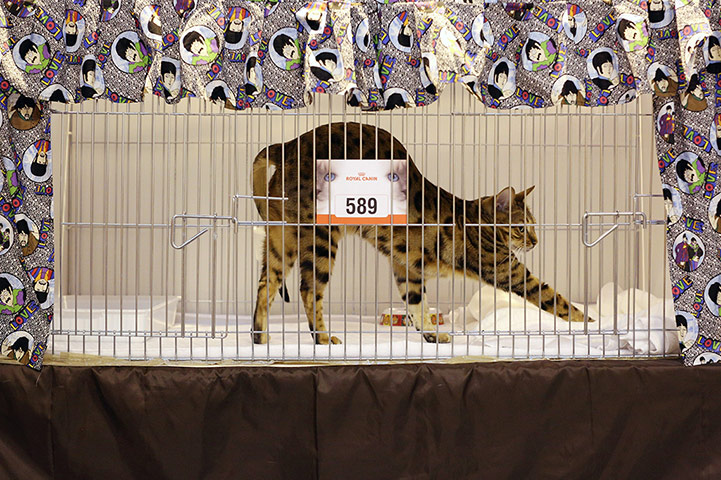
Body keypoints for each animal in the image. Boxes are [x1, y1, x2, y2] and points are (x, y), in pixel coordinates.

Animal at [253, 121, 592, 344]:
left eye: (533, 226)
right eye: (522, 228)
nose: (536, 241)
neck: (471, 218)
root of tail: (287, 146)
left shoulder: (407, 267)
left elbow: (417, 305)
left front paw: (430, 334)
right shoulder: (507, 269)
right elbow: (554, 297)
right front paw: (591, 323)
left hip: (281, 239)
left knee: (266, 284)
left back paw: (259, 336)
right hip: (321, 237)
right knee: (308, 289)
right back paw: (323, 339)